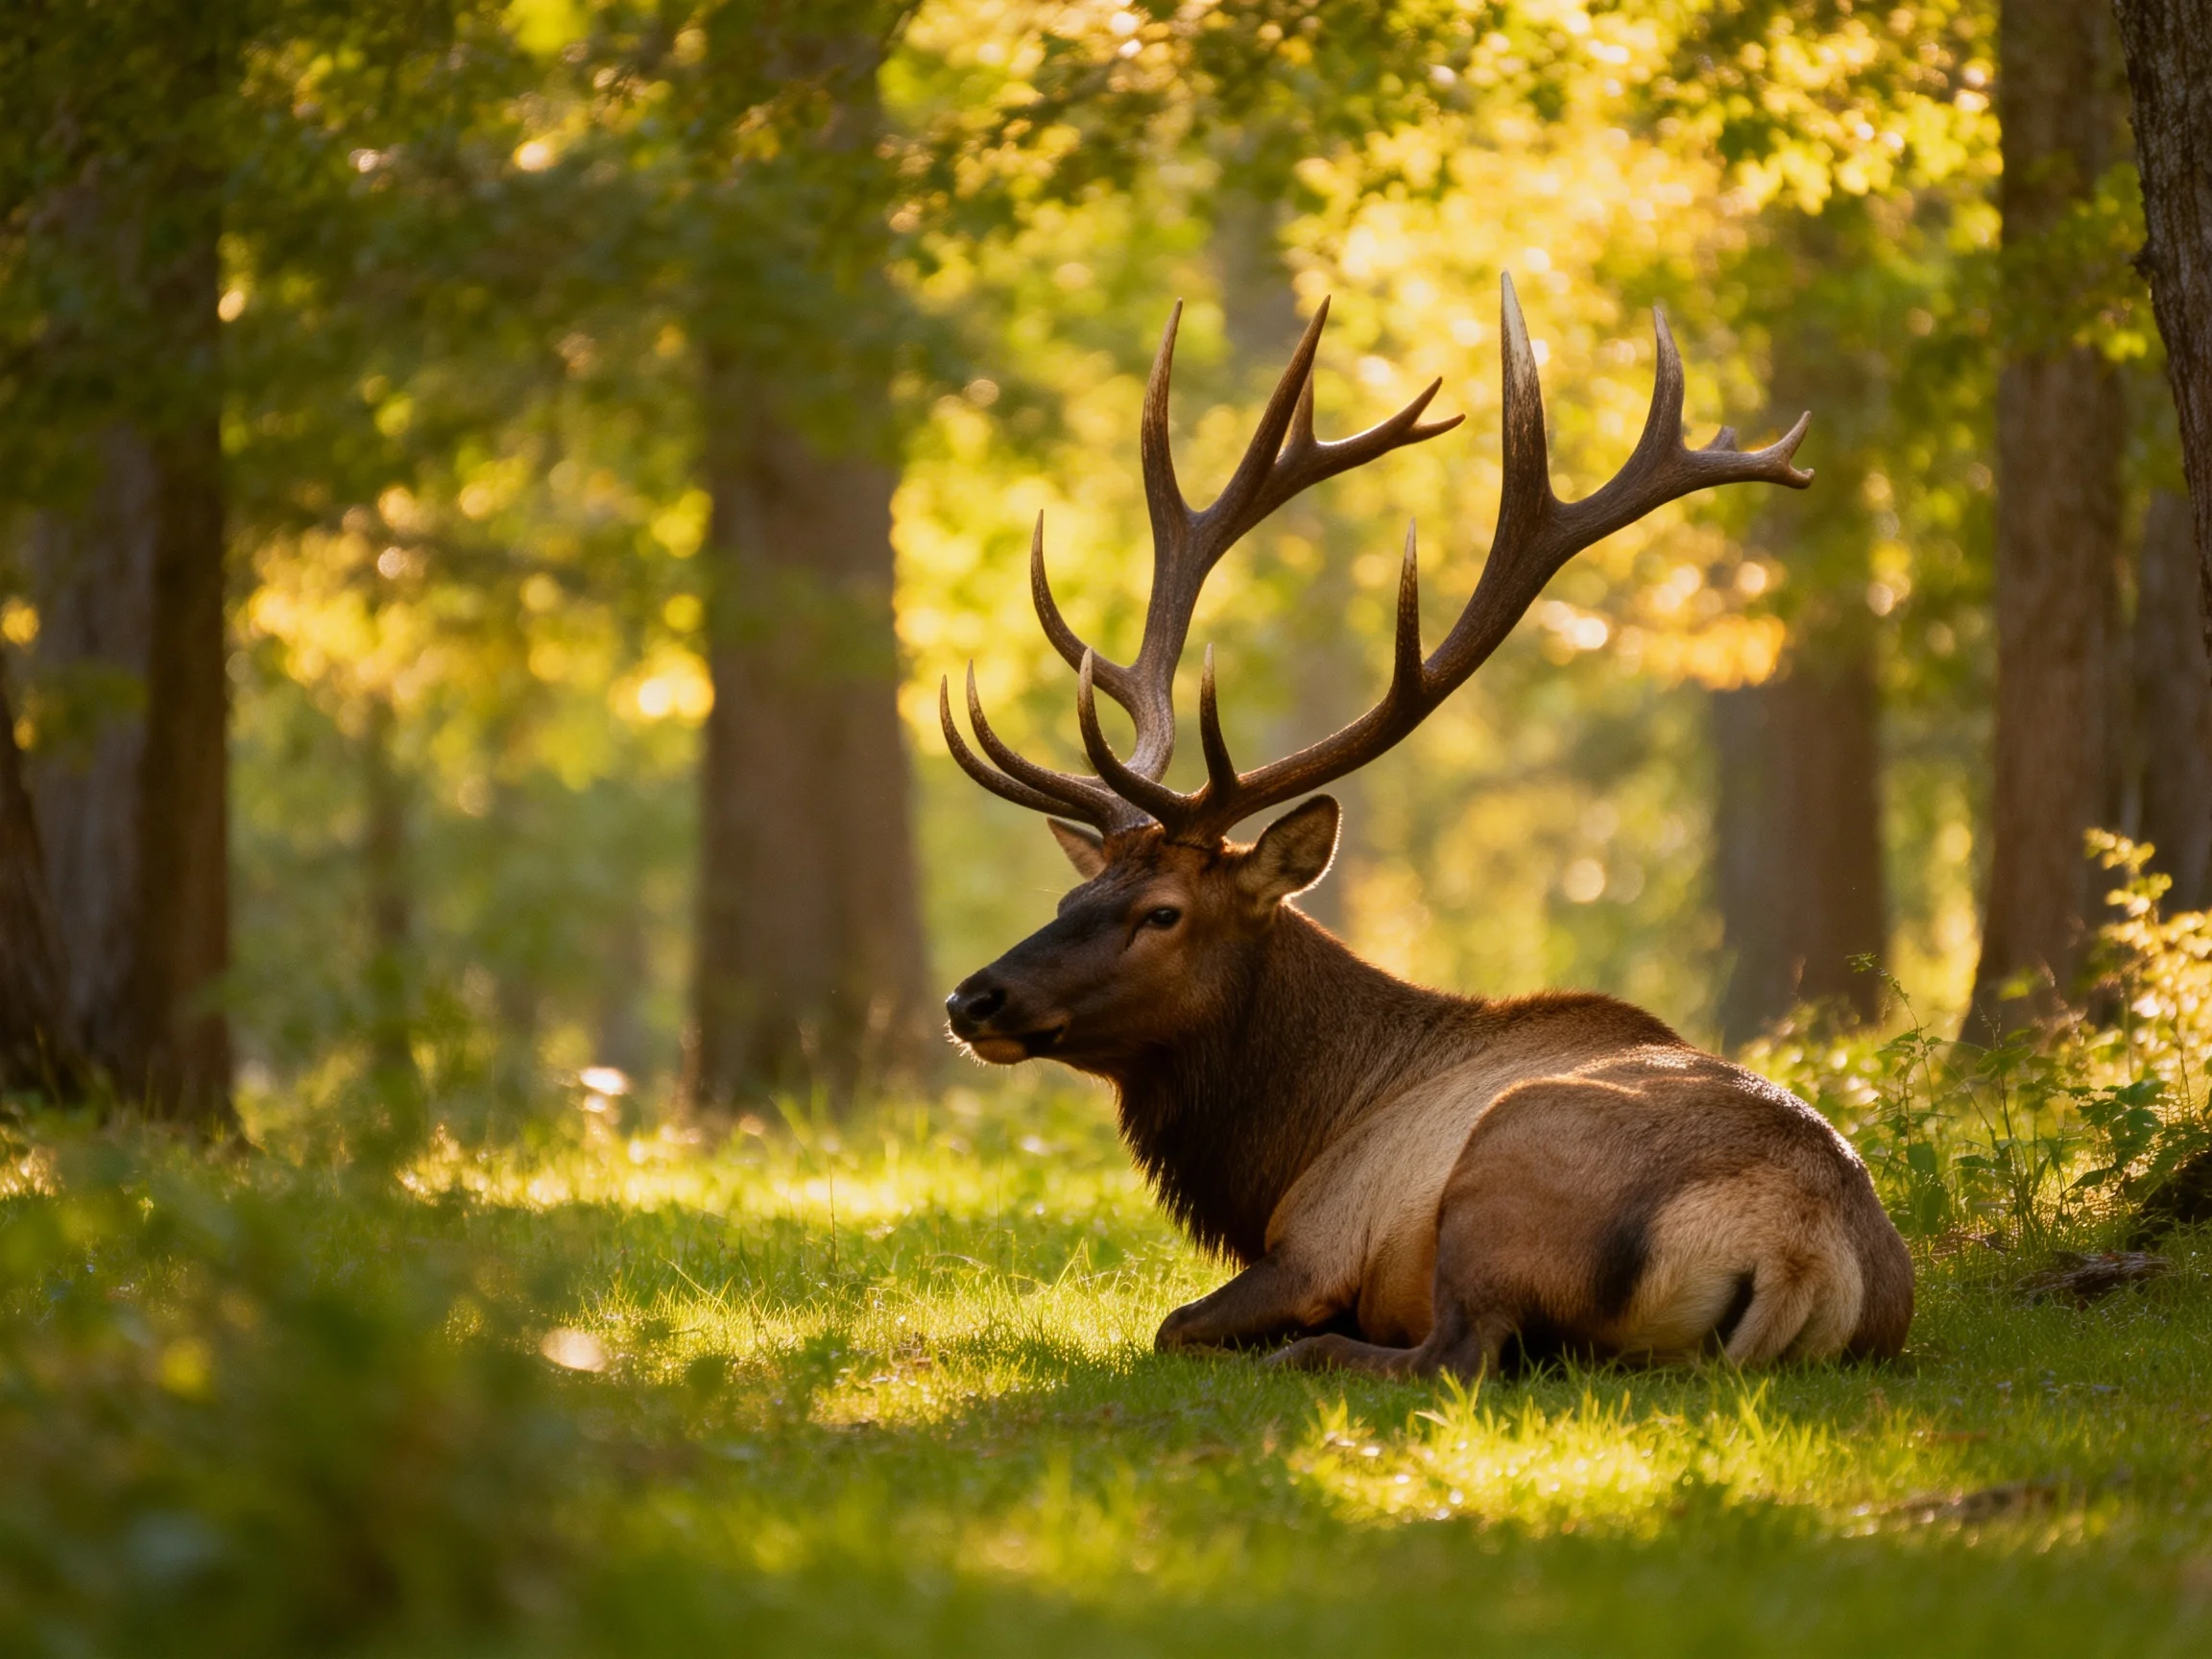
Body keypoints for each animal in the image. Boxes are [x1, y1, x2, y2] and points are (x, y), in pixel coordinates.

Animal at [939, 279, 1913, 1379]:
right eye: (1073, 893)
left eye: (1162, 912)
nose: (972, 998)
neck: (1294, 1140)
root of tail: (1797, 1249)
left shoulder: (1317, 1243)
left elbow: (1173, 1323)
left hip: (1502, 1173)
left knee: (1455, 1352)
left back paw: (1310, 1356)